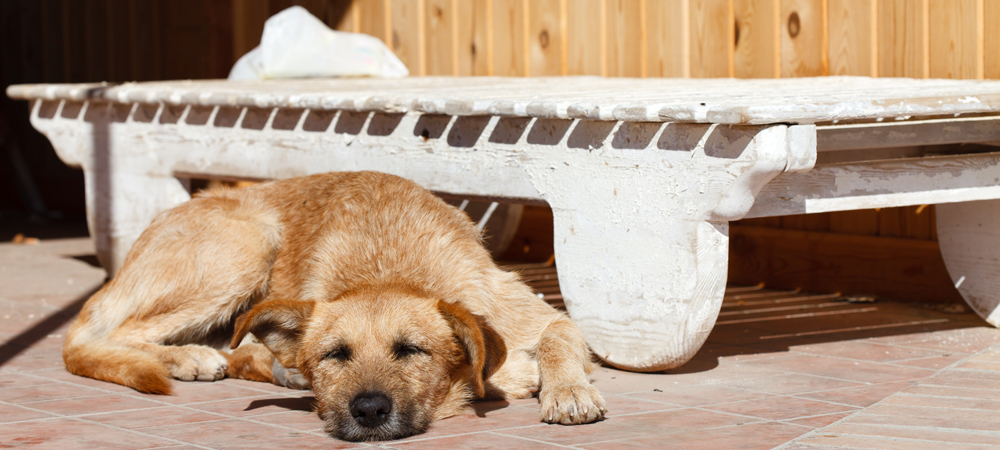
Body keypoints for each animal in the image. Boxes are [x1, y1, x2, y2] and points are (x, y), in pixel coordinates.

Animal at [66, 171, 608, 440]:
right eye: (335, 355)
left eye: (411, 351)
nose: (367, 410)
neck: (387, 267)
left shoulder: (544, 317)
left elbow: (557, 341)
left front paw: (568, 393)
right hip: (248, 244)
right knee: (115, 336)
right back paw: (190, 357)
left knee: (237, 348)